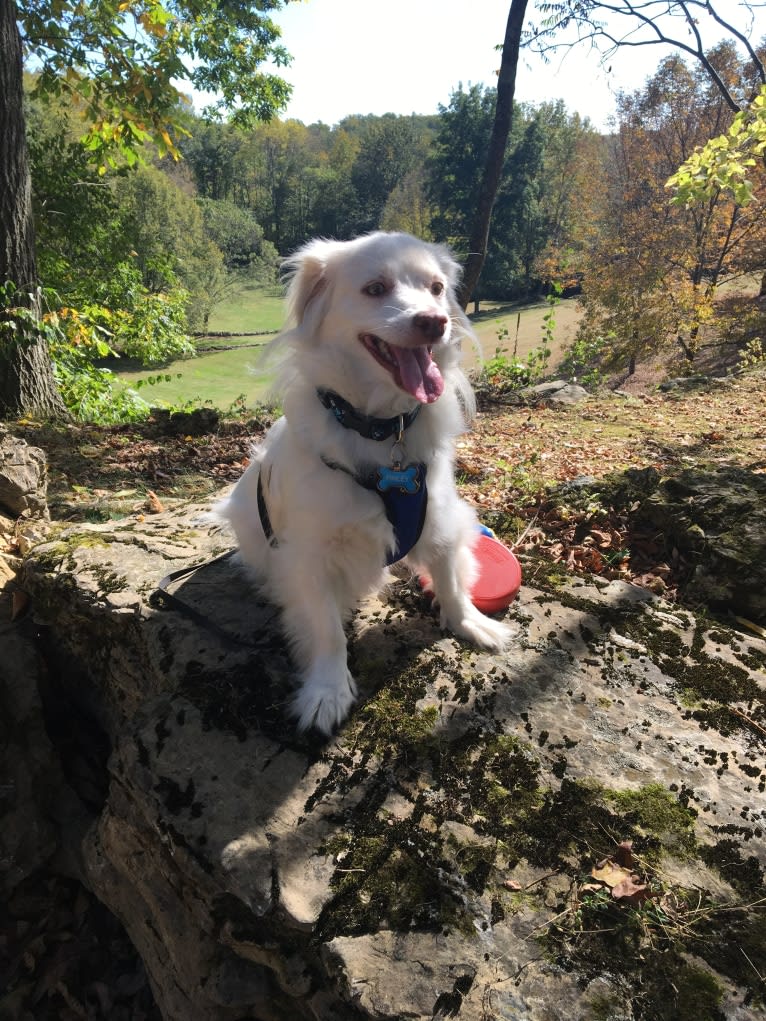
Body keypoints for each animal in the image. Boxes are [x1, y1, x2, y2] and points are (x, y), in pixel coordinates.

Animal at [218, 233, 512, 735]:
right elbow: (326, 631)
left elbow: (452, 581)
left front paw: (470, 623)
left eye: (437, 288)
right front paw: (328, 690)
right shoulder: (309, 556)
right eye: (375, 289)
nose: (435, 322)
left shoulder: (442, 521)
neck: (382, 429)